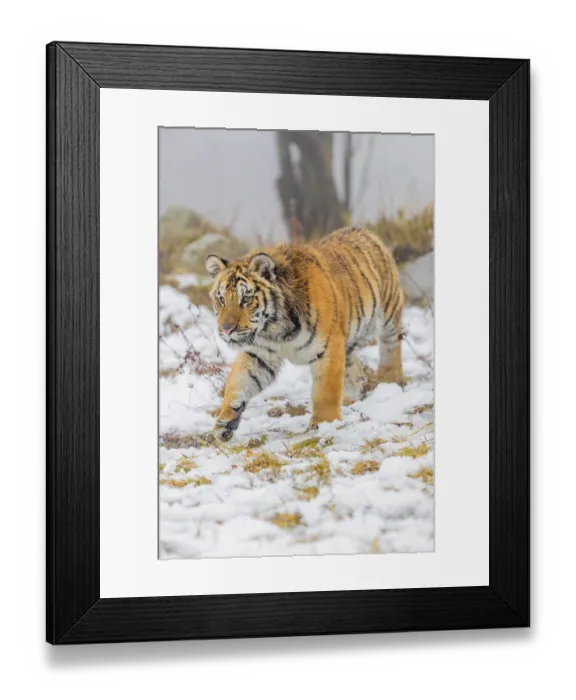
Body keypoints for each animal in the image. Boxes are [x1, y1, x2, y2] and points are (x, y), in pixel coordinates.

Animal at [205, 227, 404, 441]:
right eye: (221, 299)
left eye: (246, 299)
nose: (227, 329)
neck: (274, 329)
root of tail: (364, 231)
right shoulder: (259, 354)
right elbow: (238, 383)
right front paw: (224, 422)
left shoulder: (329, 346)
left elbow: (326, 390)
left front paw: (325, 423)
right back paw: (350, 398)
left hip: (389, 311)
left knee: (391, 345)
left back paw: (389, 381)